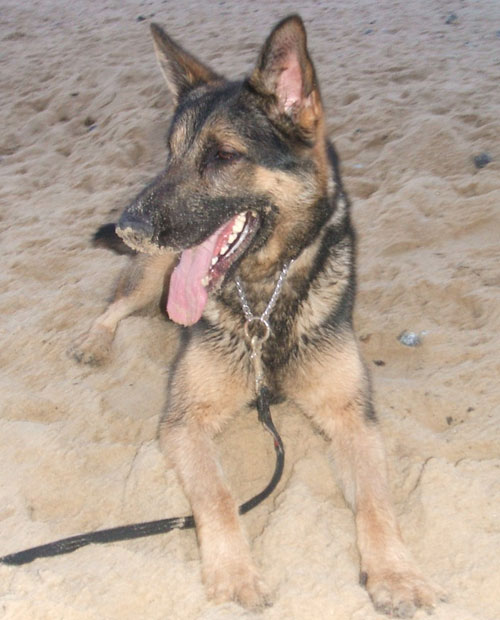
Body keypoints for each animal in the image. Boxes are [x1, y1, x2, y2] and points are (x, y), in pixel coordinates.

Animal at [67, 13, 446, 616]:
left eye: (223, 156)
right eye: (170, 152)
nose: (128, 226)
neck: (265, 297)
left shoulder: (354, 419)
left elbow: (377, 500)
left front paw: (395, 572)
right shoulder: (184, 422)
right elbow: (219, 495)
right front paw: (234, 574)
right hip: (153, 271)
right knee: (117, 302)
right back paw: (94, 340)